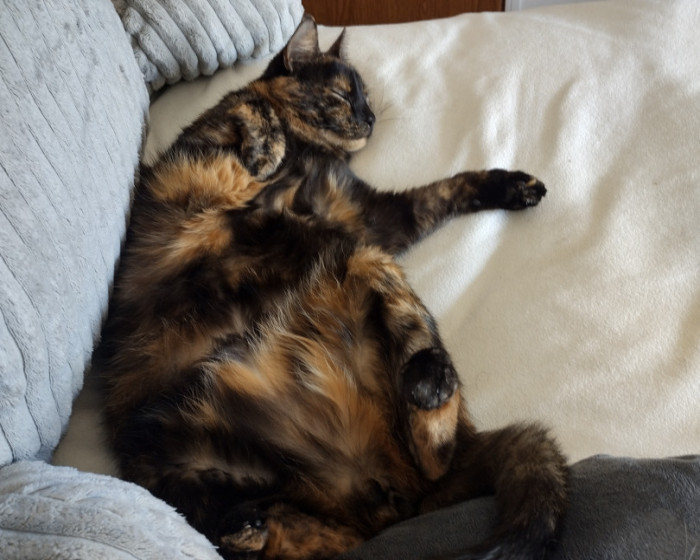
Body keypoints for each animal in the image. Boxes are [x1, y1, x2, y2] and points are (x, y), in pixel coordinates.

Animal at [96, 14, 568, 560]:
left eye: (366, 99)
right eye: (343, 95)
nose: (370, 118)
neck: (309, 158)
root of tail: (370, 480)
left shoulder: (371, 222)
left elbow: (445, 190)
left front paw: (514, 186)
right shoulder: (197, 161)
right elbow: (255, 108)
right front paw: (264, 148)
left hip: (369, 261)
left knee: (431, 459)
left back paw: (430, 378)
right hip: (171, 451)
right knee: (308, 530)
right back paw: (247, 528)